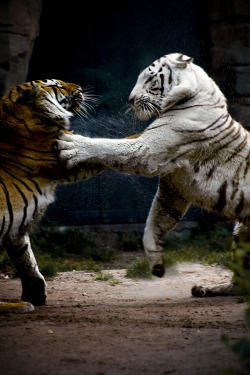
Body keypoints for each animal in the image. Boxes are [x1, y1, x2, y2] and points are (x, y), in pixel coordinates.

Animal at [56, 54, 250, 298]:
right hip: (241, 233)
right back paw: (208, 289)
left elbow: (109, 146)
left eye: (149, 78)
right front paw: (156, 263)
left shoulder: (147, 150)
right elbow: (154, 222)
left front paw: (71, 145)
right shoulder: (173, 189)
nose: (130, 99)